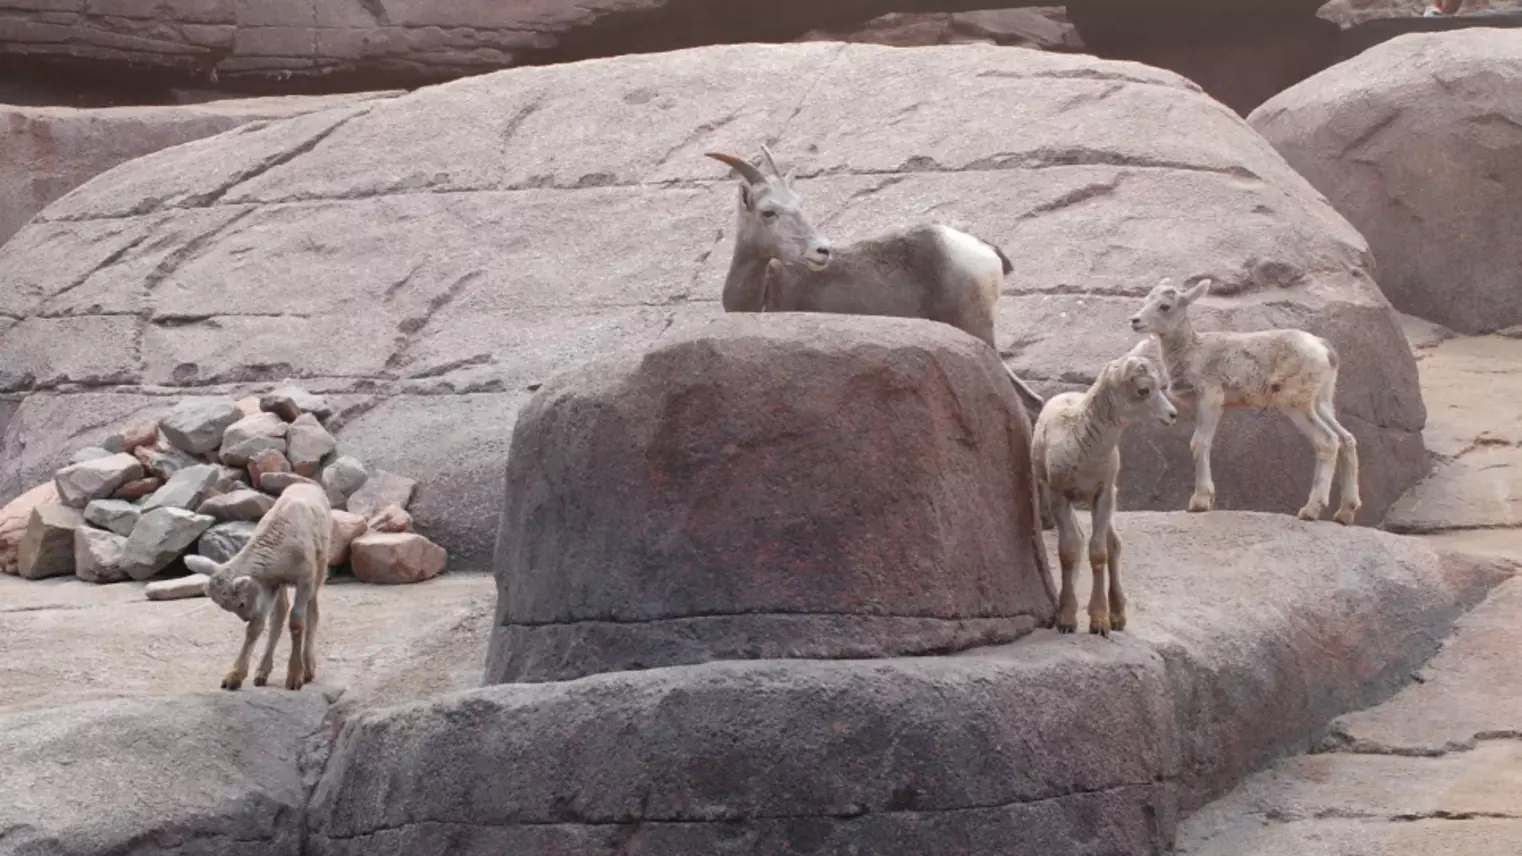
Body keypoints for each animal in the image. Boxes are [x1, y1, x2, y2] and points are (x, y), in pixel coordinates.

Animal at [703, 144, 1047, 411]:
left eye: (800, 205)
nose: (822, 251)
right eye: (768, 212)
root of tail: (984, 251)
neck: (763, 292)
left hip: (977, 332)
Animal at [1028, 348, 1181, 633]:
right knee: (1080, 540)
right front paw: (1066, 618)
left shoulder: (1103, 495)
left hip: (1106, 500)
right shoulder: (1058, 495)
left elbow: (1099, 553)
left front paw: (1099, 621)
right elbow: (1069, 550)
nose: (1172, 415)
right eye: (1144, 389)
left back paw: (1118, 615)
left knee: (1113, 544)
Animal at [1126, 277, 1363, 523]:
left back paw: (1310, 511)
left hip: (1294, 402)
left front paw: (1200, 502)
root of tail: (1325, 350)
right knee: (1346, 438)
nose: (1135, 320)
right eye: (1146, 300)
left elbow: (1199, 442)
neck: (1192, 351)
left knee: (1327, 441)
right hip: (1321, 402)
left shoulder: (1211, 397)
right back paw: (1345, 513)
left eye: (1165, 306)